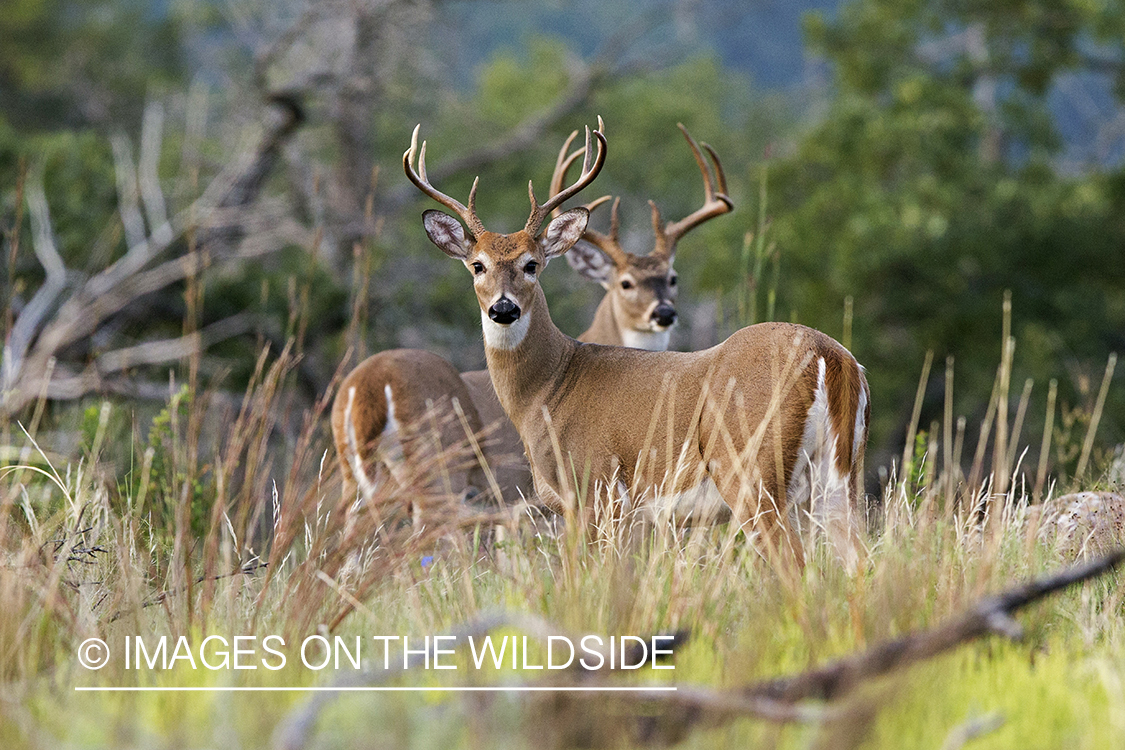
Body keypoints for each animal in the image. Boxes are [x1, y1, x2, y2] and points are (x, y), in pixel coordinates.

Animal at [405, 123, 868, 571]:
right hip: (841, 474)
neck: (547, 389)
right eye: (477, 265)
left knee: (795, 564)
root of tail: (829, 356)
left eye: (531, 264)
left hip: (751, 469)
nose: (504, 308)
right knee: (859, 561)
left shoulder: (595, 488)